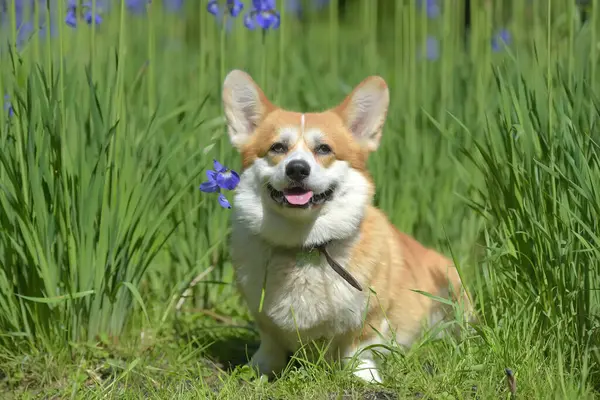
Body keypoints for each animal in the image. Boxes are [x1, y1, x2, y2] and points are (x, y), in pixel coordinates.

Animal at [221, 70, 474, 382]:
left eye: (324, 149)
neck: (304, 246)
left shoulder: (370, 315)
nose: (297, 169)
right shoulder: (263, 318)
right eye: (277, 148)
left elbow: (360, 346)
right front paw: (259, 369)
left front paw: (365, 375)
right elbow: (270, 343)